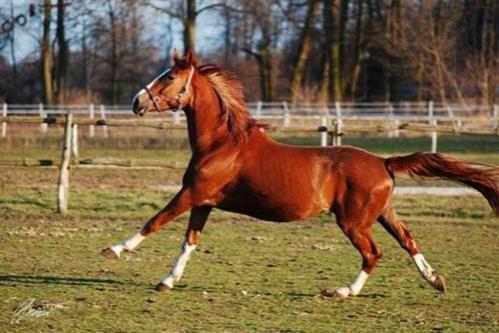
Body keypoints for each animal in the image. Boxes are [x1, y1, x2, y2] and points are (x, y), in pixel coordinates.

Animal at [102, 48, 499, 296]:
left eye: (169, 77)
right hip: (383, 213)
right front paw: (167, 281)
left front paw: (115, 250)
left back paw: (343, 291)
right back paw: (435, 279)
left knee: (373, 253)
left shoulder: (192, 194)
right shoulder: (204, 202)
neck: (222, 143)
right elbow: (189, 242)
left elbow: (155, 221)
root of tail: (384, 162)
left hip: (353, 222)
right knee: (407, 239)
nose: (136, 101)